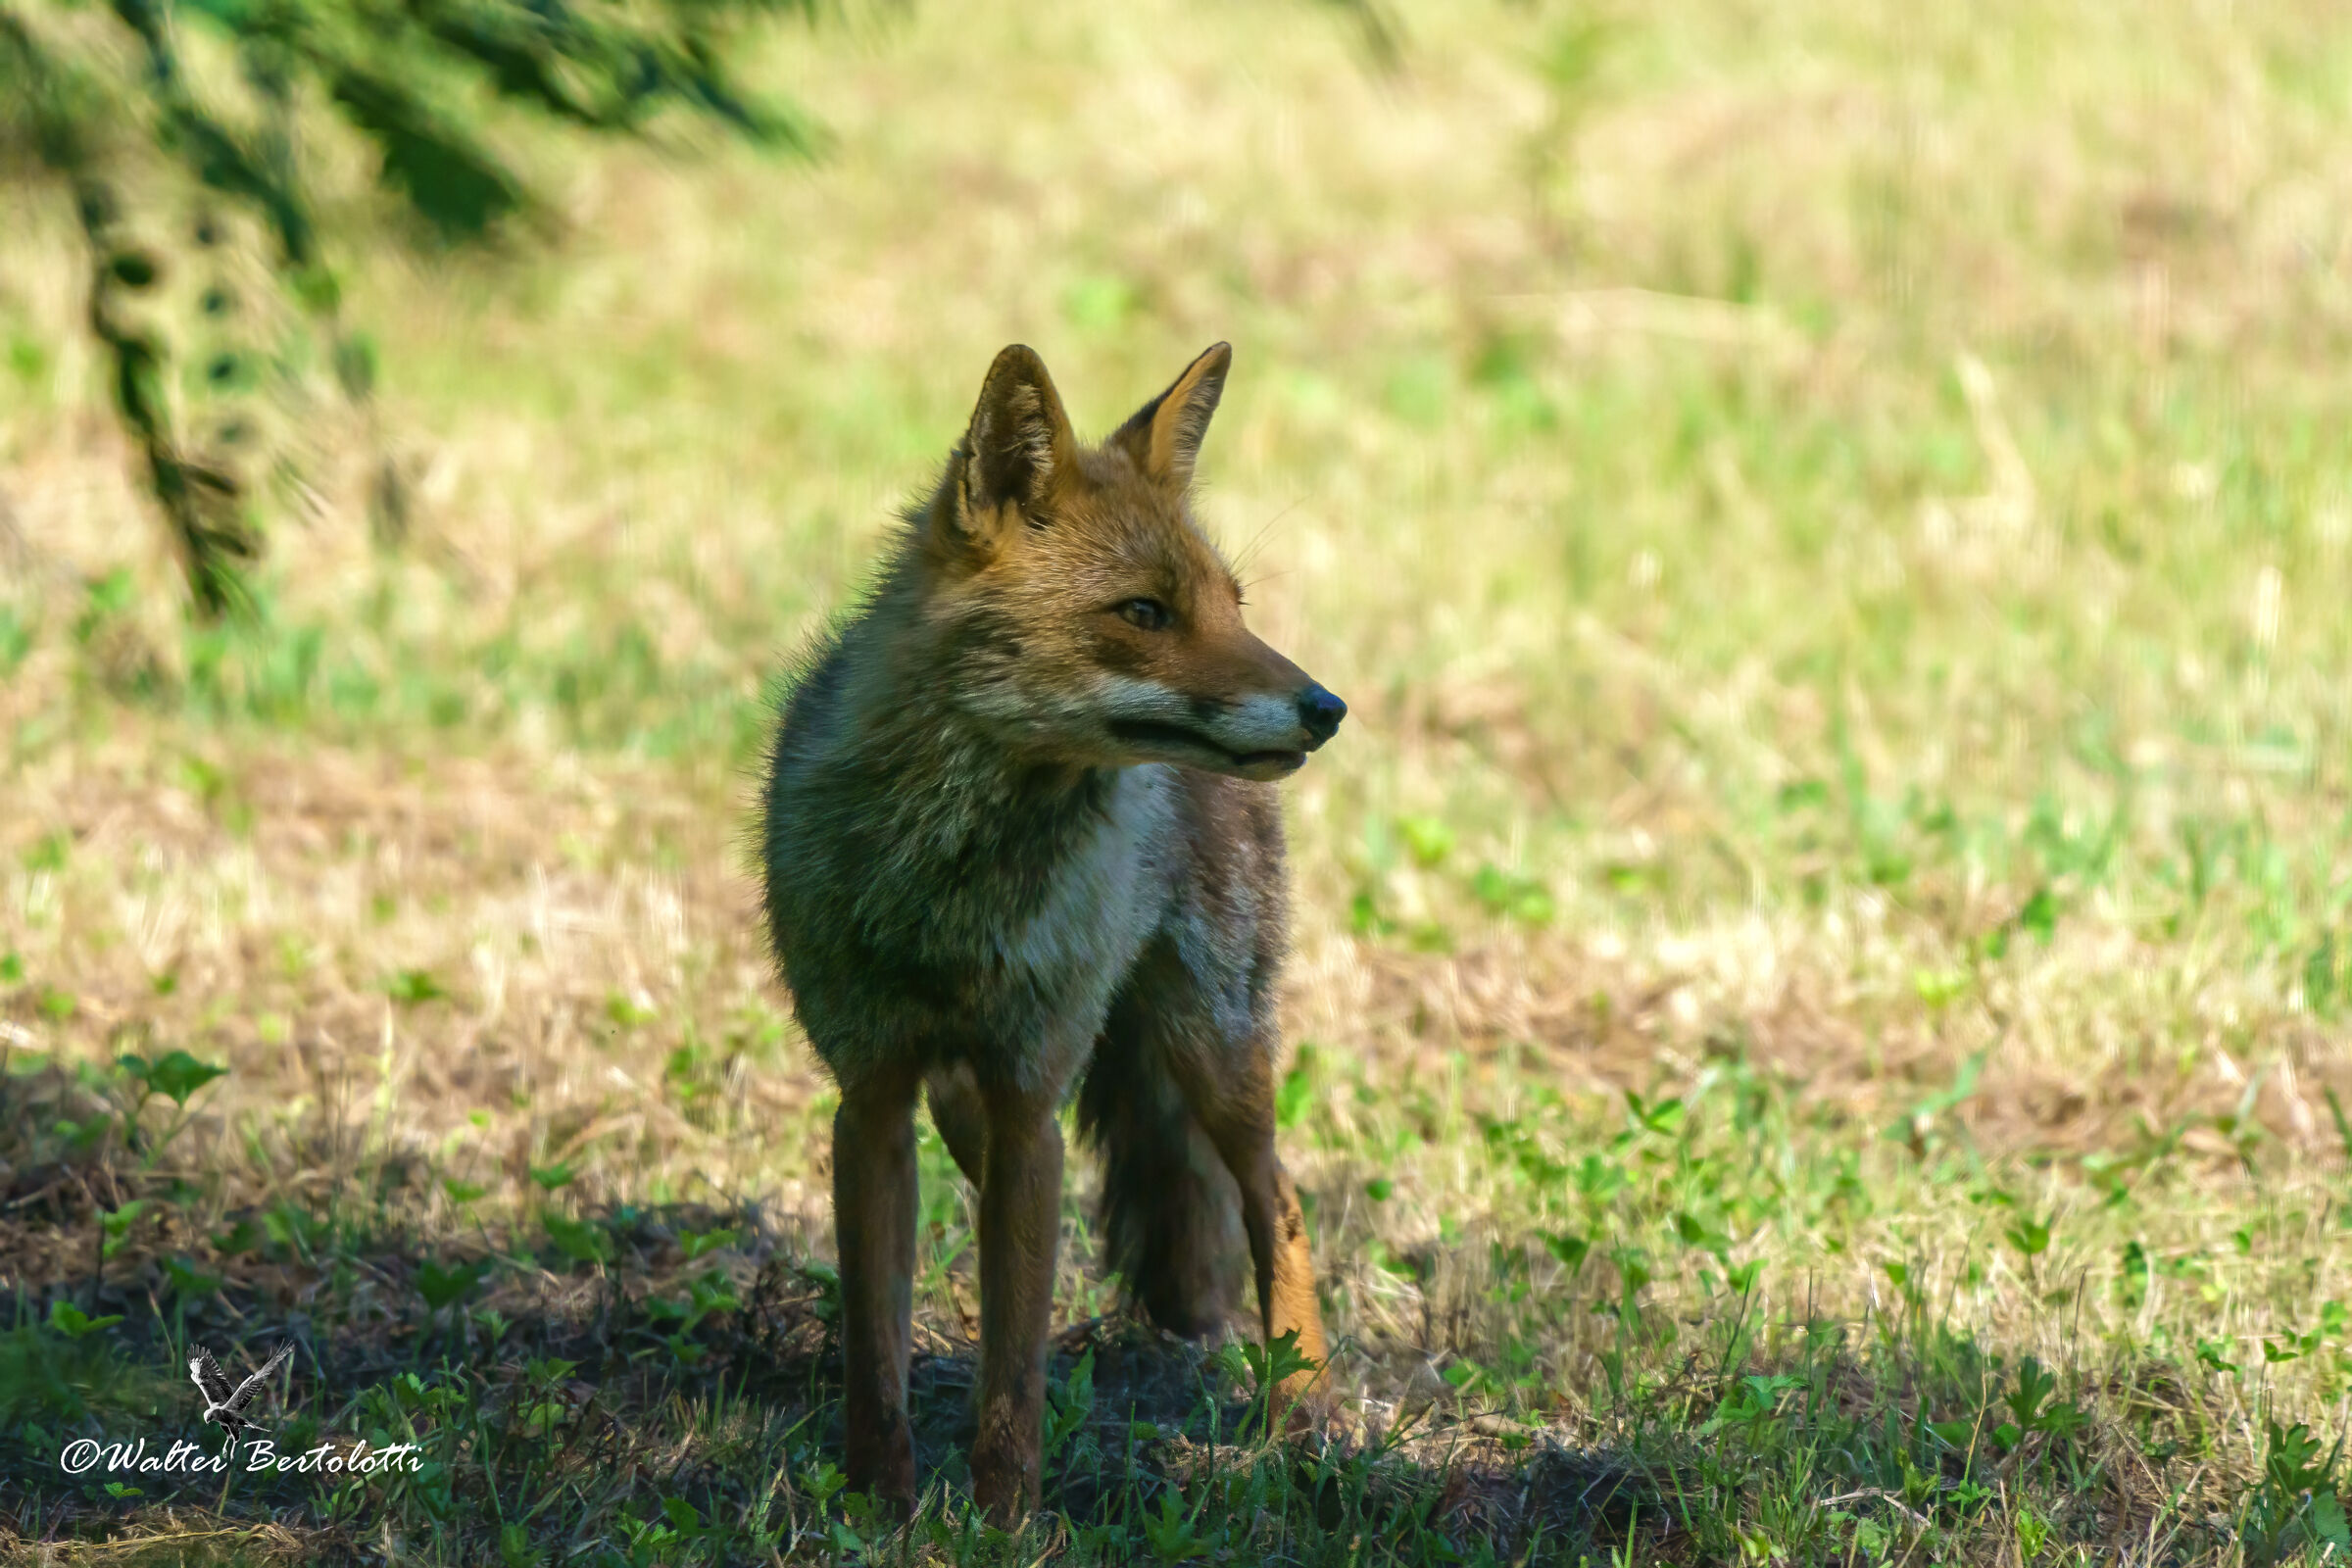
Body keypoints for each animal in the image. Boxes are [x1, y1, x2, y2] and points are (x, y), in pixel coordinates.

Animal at [759, 341, 1346, 1524]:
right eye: (1145, 612)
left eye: (1234, 606)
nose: (1326, 706)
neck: (950, 890)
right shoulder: (875, 1097)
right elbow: (876, 1349)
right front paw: (879, 1504)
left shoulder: (1032, 1094)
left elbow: (1013, 1369)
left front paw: (1004, 1519)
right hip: (965, 1107)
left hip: (1211, 1046)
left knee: (1278, 1201)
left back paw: (1299, 1410)